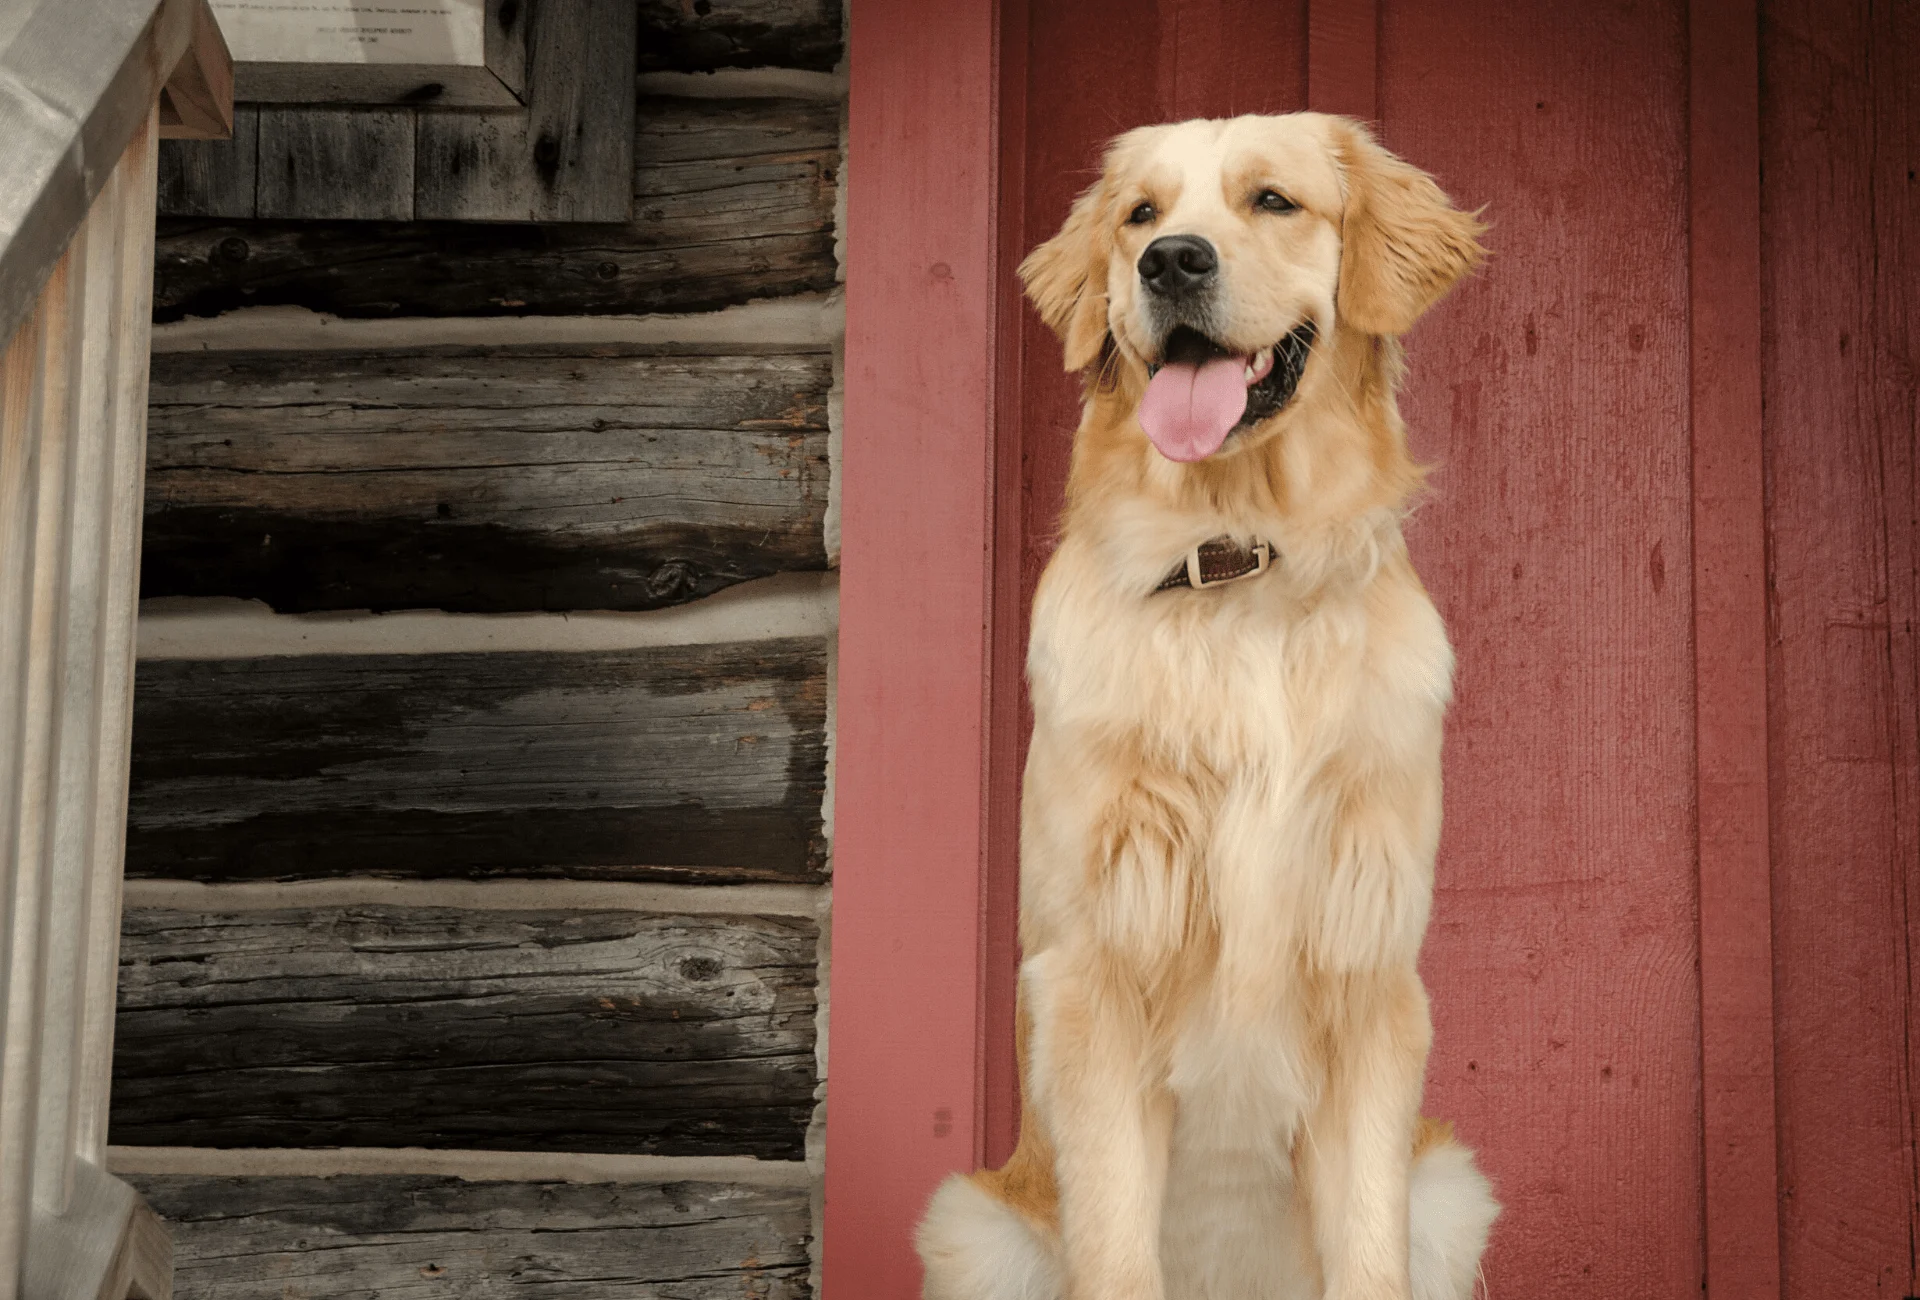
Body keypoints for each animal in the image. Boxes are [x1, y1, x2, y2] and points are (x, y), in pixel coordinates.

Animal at [913, 114, 1497, 1298]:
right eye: (1141, 213)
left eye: (1273, 200)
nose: (1171, 260)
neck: (1241, 568)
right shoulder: (1093, 975)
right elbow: (1116, 1249)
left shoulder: (1369, 974)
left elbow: (1368, 1252)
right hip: (971, 1226)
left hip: (1450, 1192)